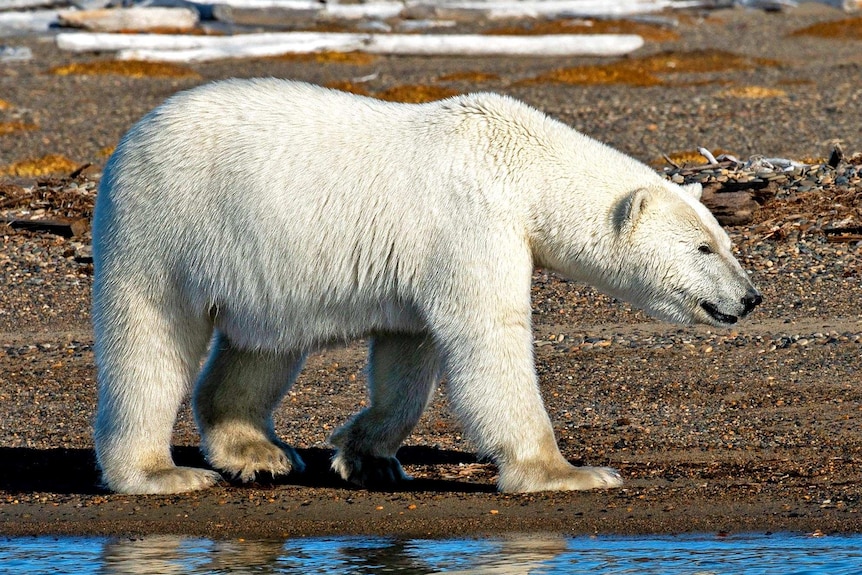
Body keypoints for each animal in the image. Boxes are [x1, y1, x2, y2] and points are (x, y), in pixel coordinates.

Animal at [91, 79, 760, 498]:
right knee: (150, 342)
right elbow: (489, 338)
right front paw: (570, 472)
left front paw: (365, 456)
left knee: (261, 348)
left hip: (261, 264)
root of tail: (132, 137)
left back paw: (257, 453)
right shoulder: (472, 225)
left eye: (726, 242)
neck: (521, 164)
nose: (750, 297)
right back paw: (158, 474)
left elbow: (408, 355)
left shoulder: (417, 265)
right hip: (166, 227)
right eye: (703, 249)